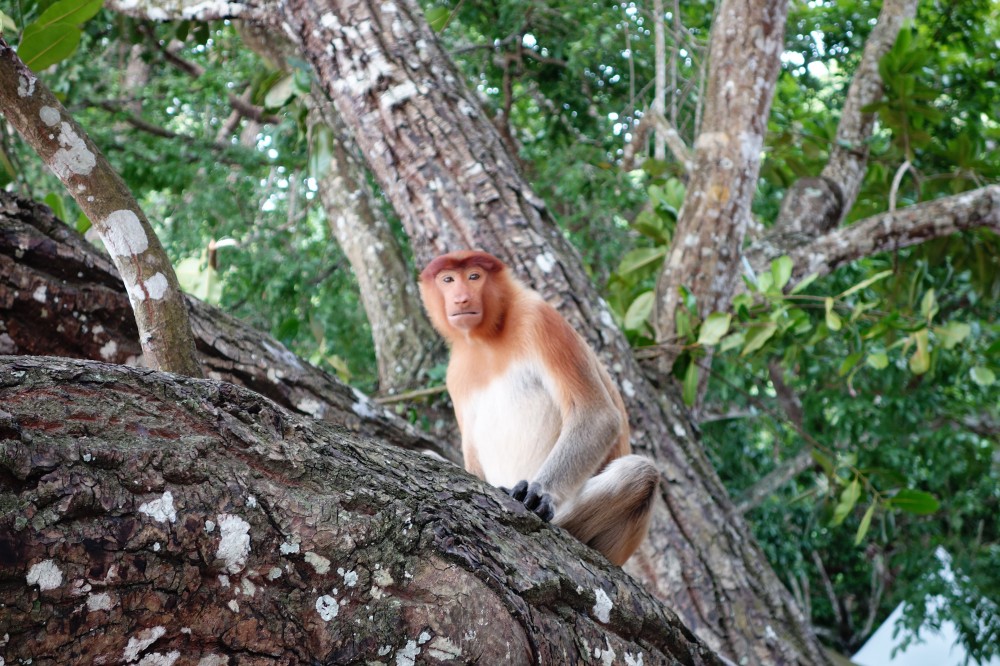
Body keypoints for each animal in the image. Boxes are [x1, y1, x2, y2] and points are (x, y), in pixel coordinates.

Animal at [420, 252, 660, 564]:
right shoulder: (455, 373)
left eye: (474, 276)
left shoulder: (541, 320)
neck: (487, 338)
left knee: (641, 472)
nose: (461, 299)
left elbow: (598, 416)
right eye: (447, 279)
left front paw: (538, 494)